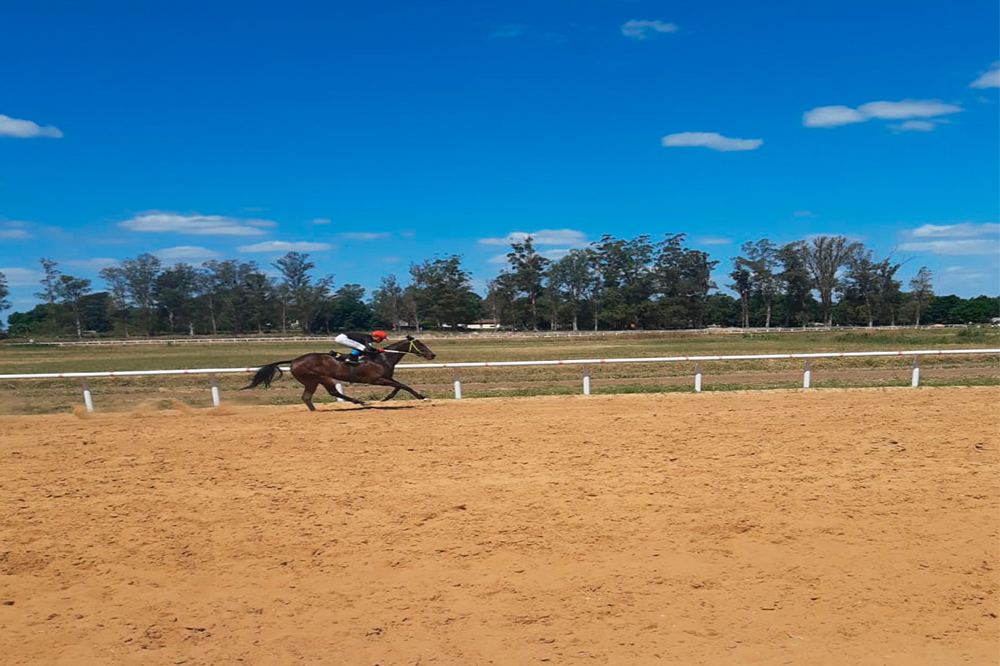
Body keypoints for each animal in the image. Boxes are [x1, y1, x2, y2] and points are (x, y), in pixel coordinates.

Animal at [240, 335, 436, 410]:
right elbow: (403, 385)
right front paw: (423, 397)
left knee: (307, 397)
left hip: (312, 381)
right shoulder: (377, 379)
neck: (383, 357)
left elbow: (398, 386)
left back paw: (315, 411)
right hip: (322, 377)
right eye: (420, 344)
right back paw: (360, 402)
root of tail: (294, 360)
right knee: (332, 392)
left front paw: (387, 398)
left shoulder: (386, 378)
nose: (432, 355)